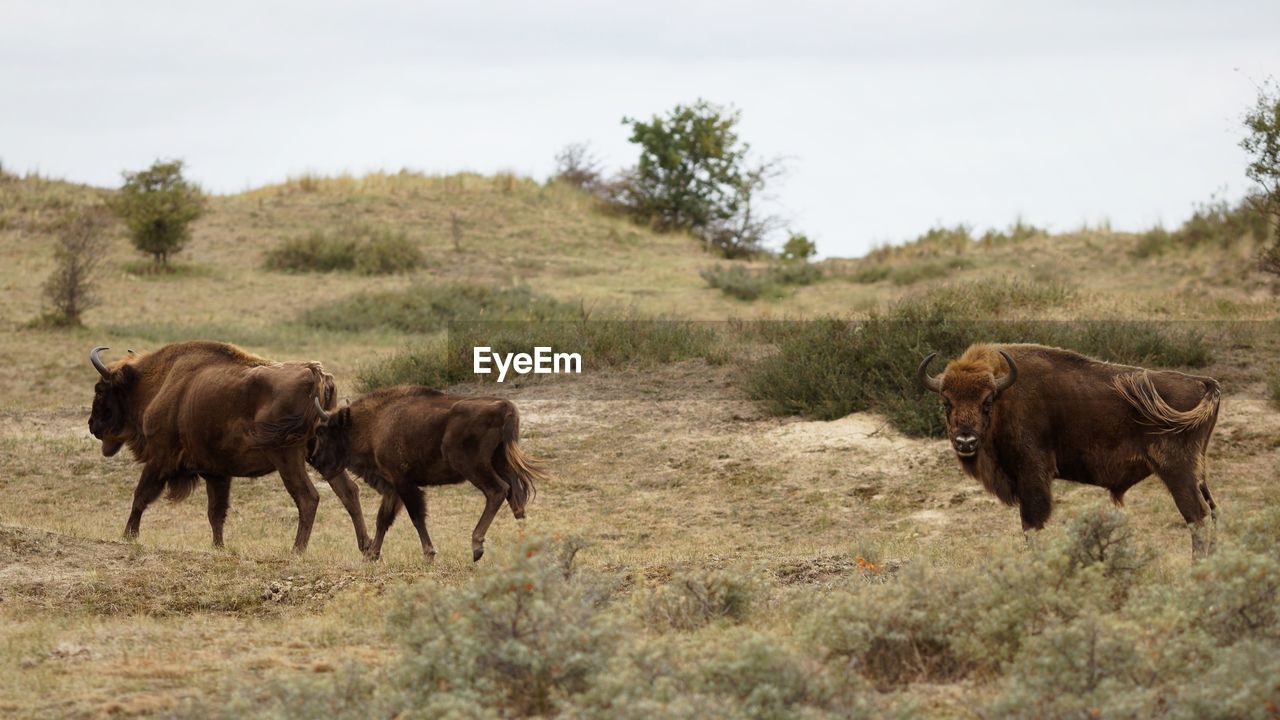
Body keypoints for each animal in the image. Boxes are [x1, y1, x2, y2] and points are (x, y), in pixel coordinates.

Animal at [85, 340, 371, 548]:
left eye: (101, 389)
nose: (92, 425)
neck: (161, 382)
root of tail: (315, 374)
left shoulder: (160, 458)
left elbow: (141, 496)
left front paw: (127, 536)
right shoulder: (216, 473)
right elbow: (216, 513)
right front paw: (218, 547)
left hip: (286, 456)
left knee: (308, 497)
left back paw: (296, 551)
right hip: (321, 454)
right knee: (348, 492)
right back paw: (367, 549)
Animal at [309, 386, 550, 561]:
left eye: (323, 431)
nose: (314, 460)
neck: (374, 423)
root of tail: (503, 406)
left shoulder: (403, 482)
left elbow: (416, 516)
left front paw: (428, 553)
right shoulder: (392, 487)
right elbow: (383, 519)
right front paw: (371, 556)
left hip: (473, 467)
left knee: (498, 491)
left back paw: (477, 546)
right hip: (501, 462)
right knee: (515, 498)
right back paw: (525, 542)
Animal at [916, 340, 1223, 556]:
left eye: (987, 402)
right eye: (946, 403)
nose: (965, 442)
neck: (1006, 395)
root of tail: (1203, 382)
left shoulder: (1033, 475)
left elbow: (1031, 525)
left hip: (1178, 472)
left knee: (1196, 515)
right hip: (1198, 472)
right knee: (1212, 510)